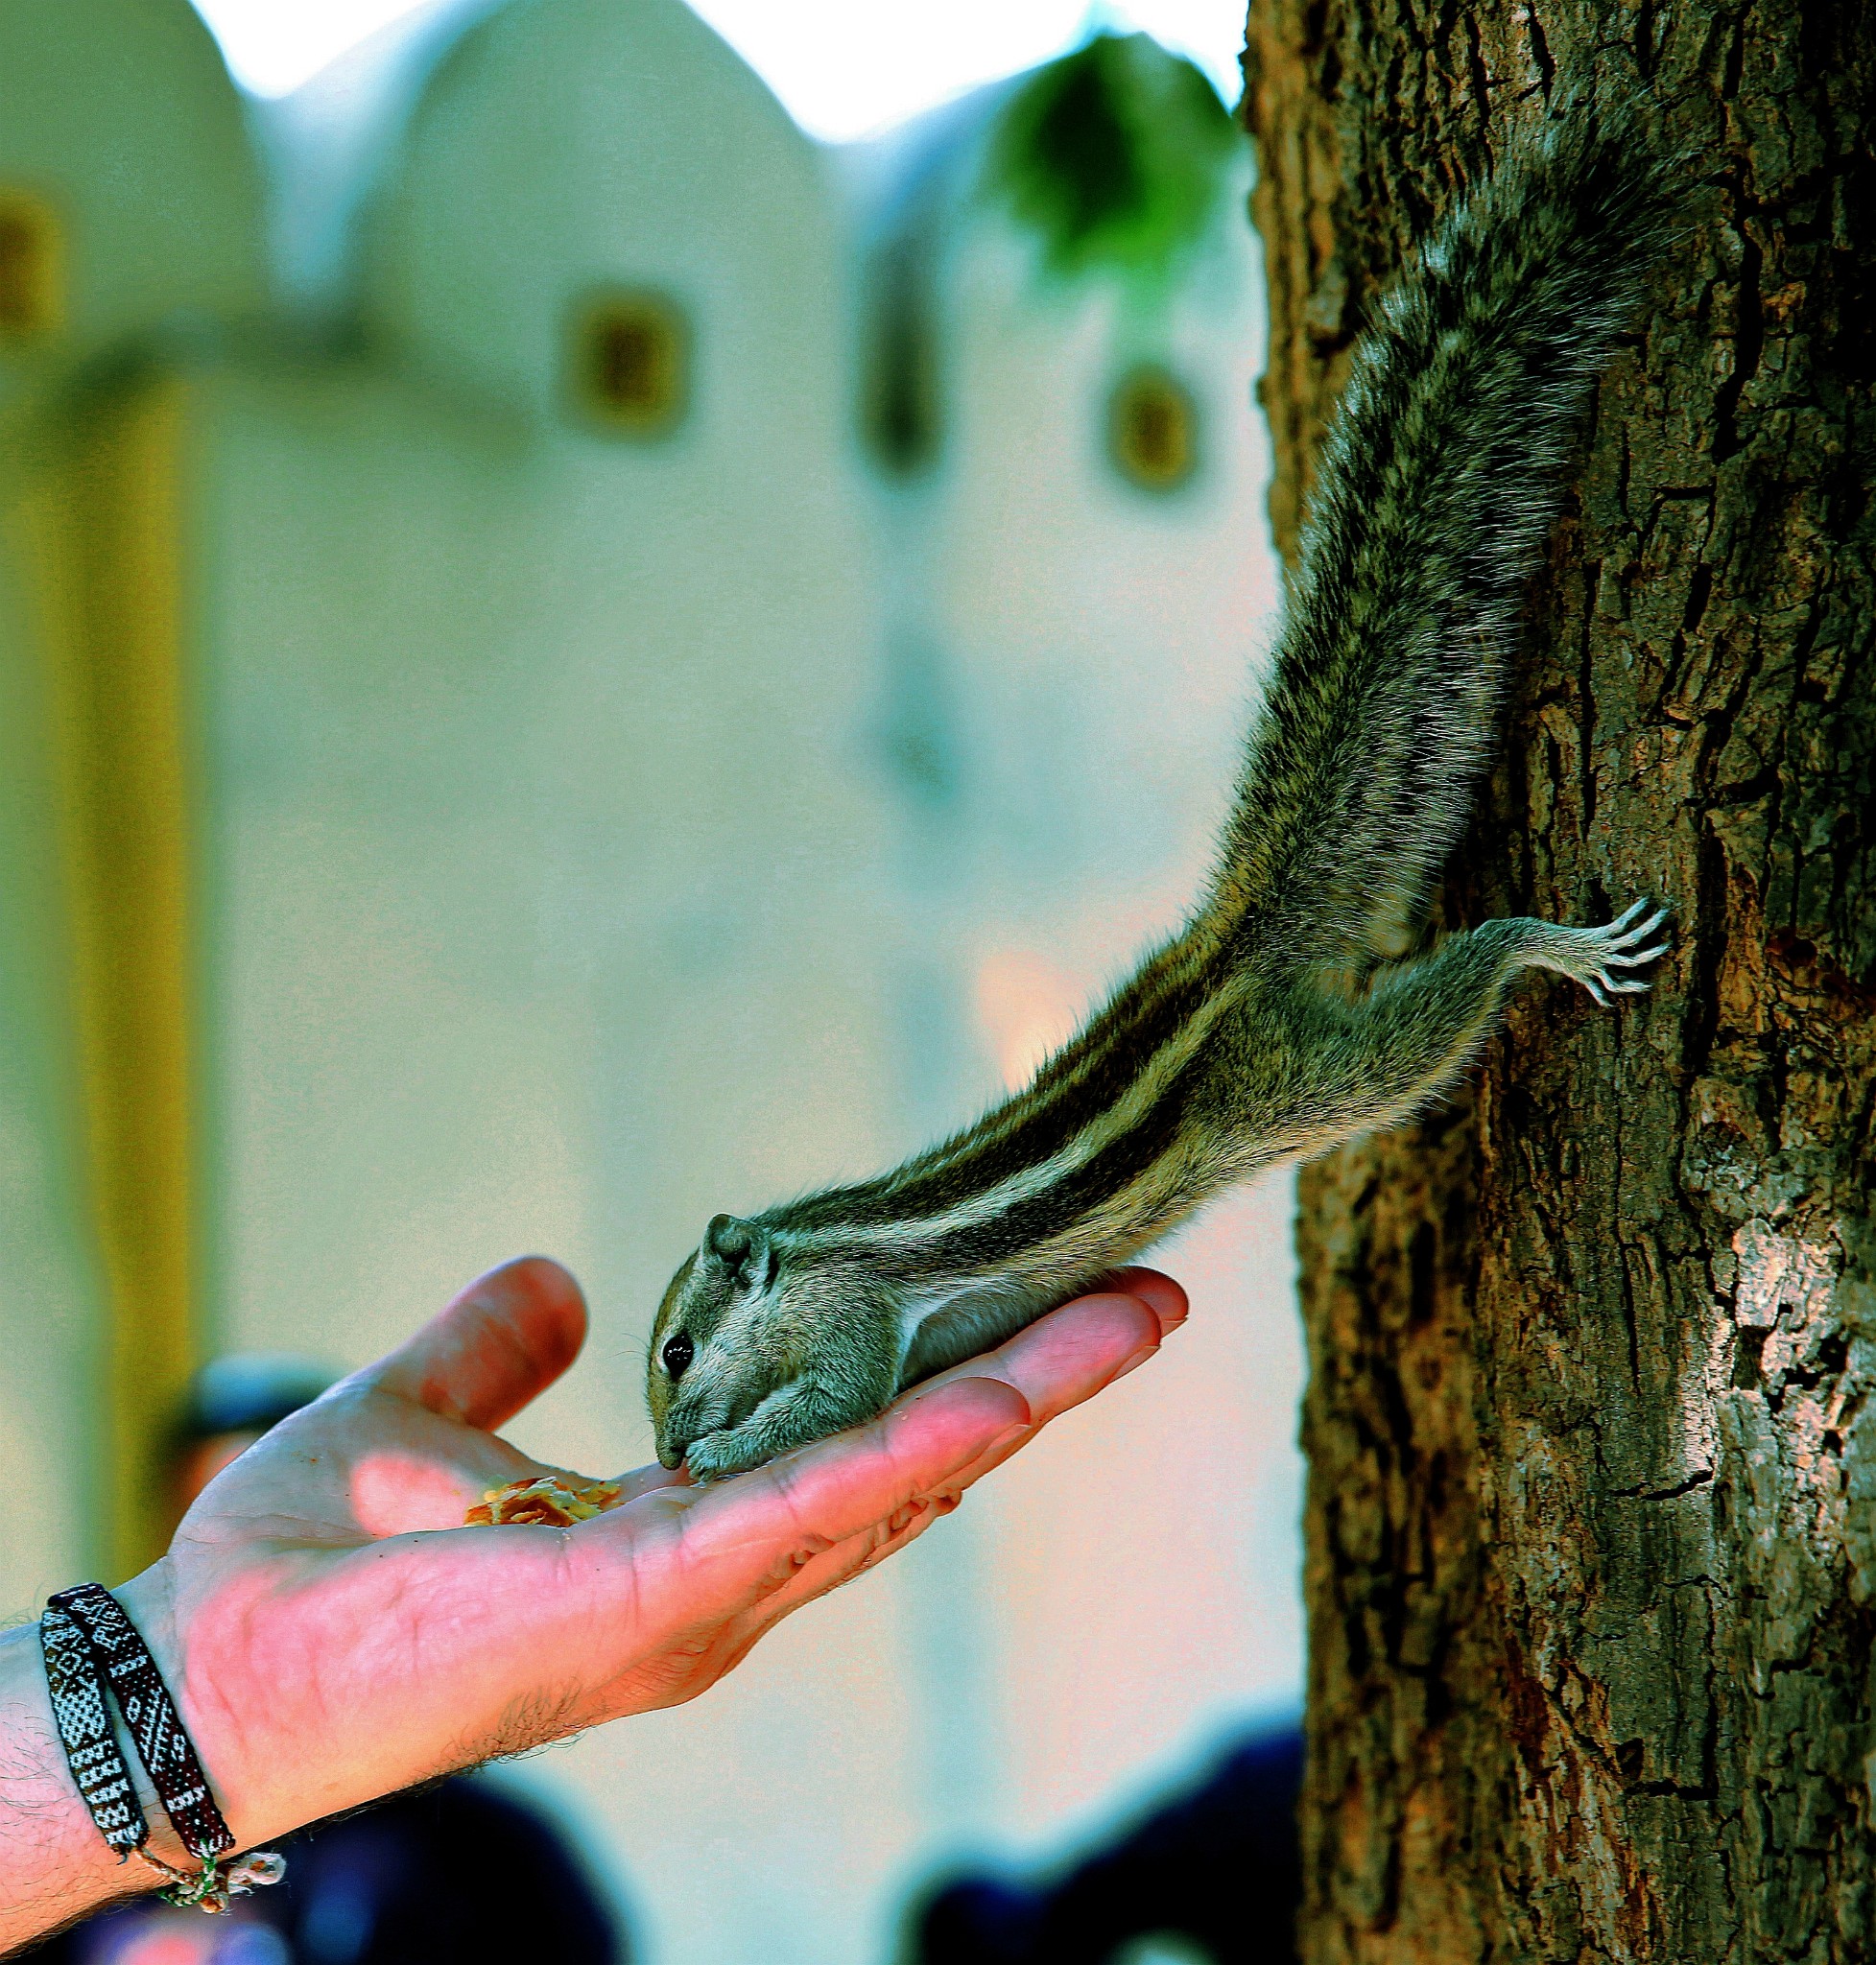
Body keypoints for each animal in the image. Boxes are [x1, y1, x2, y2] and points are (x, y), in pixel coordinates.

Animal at [644, 92, 1674, 1478]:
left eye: (677, 1352)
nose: (655, 1455)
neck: (817, 1246)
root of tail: (1222, 952)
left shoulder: (855, 1319)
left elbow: (832, 1402)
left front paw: (724, 1454)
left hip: (1294, 1081)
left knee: (1432, 1019)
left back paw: (1539, 944)